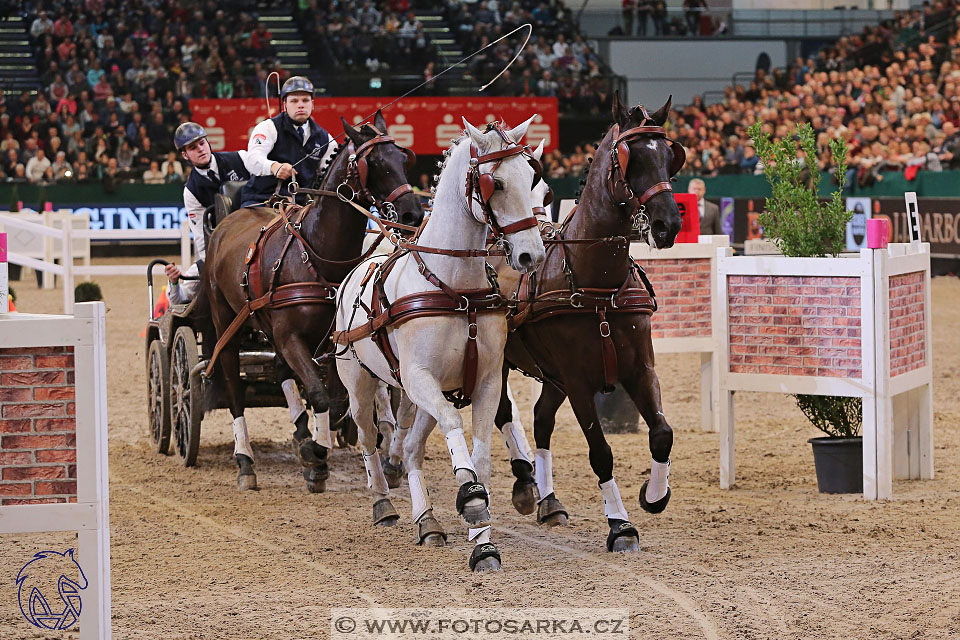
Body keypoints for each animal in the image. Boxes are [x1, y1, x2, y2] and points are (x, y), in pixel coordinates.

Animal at [203, 111, 424, 490]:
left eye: (403, 157)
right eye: (375, 163)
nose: (412, 214)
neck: (318, 254)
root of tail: (228, 221)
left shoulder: (332, 342)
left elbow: (335, 402)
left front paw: (312, 449)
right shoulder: (291, 337)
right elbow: (319, 394)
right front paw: (317, 456)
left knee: (281, 371)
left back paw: (302, 435)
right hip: (226, 323)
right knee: (234, 387)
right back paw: (245, 462)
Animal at [336, 117, 548, 572]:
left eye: (533, 178)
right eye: (495, 183)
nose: (532, 255)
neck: (455, 288)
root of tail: (356, 270)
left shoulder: (486, 382)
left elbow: (481, 458)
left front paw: (483, 543)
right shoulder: (419, 379)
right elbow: (453, 426)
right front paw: (470, 501)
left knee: (411, 447)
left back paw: (427, 521)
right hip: (360, 384)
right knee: (367, 436)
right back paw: (383, 503)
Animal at [496, 94, 684, 552]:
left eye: (669, 156)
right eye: (630, 159)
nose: (668, 224)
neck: (598, 282)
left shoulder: (640, 368)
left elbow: (662, 433)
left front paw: (654, 495)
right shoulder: (580, 382)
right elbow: (601, 453)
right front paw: (620, 525)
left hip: (552, 375)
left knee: (541, 418)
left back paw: (549, 501)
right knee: (504, 412)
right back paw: (525, 485)